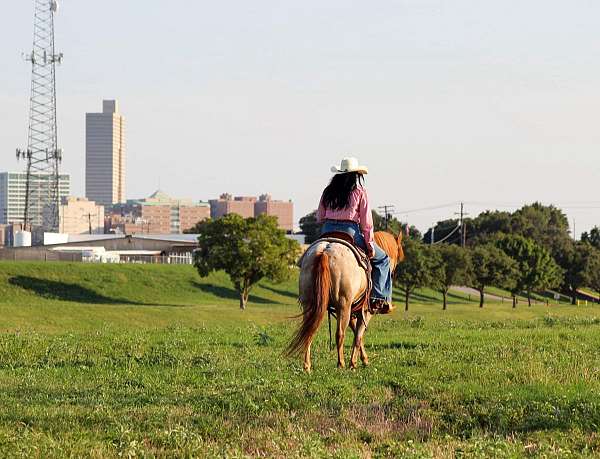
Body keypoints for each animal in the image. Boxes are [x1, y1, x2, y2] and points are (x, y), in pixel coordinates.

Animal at [286, 232, 404, 372]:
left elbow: (356, 332)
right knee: (339, 334)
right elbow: (358, 335)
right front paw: (354, 363)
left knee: (309, 331)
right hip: (343, 305)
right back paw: (340, 364)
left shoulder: (353, 310)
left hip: (310, 304)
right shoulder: (365, 311)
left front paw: (362, 359)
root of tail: (326, 250)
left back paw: (307, 366)